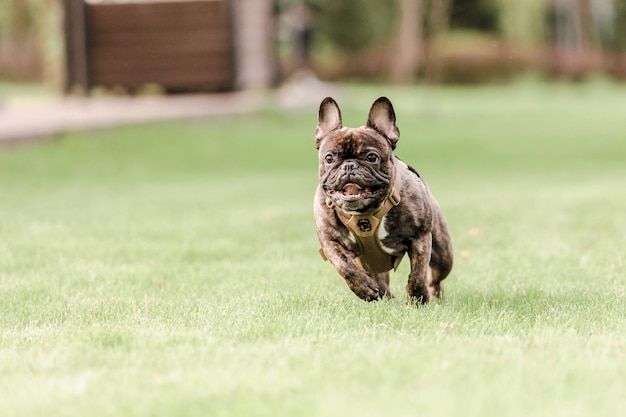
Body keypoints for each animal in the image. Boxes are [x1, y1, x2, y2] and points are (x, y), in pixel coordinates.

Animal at [314, 96, 450, 300]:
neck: (364, 213)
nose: (349, 165)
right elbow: (345, 266)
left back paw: (434, 295)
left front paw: (418, 298)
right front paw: (363, 288)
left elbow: (418, 274)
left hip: (442, 254)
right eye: (329, 158)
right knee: (381, 284)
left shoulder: (420, 238)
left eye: (372, 157)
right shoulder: (331, 242)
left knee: (435, 276)